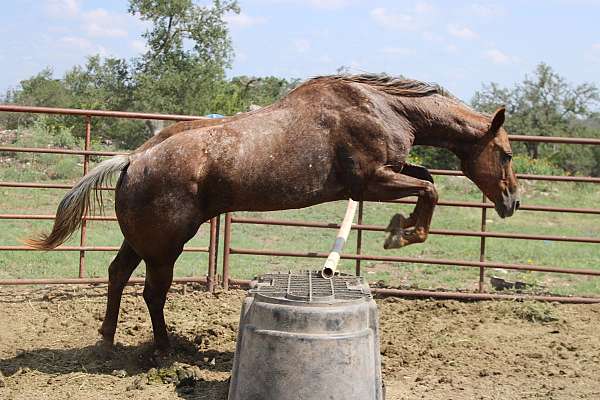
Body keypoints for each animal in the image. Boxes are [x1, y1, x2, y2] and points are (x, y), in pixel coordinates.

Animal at [27, 75, 520, 350]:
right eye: (507, 154)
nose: (512, 202)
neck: (384, 106)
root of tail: (133, 160)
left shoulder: (385, 175)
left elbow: (426, 179)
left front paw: (400, 228)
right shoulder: (372, 181)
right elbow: (430, 189)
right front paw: (402, 232)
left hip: (142, 241)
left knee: (116, 275)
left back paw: (107, 340)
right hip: (166, 247)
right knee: (152, 293)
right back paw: (164, 350)